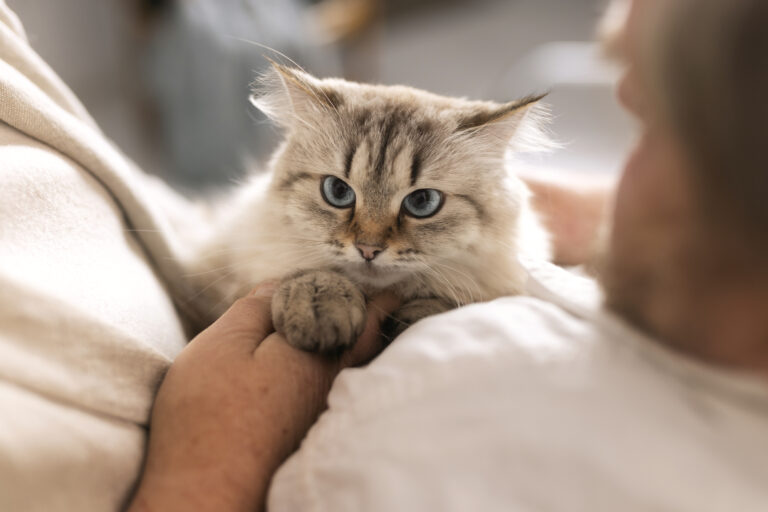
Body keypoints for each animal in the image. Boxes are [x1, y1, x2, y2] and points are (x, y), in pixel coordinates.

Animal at [190, 64, 552, 352]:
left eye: (422, 202)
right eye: (337, 192)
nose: (367, 249)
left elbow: (447, 303)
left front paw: (411, 321)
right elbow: (310, 272)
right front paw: (319, 309)